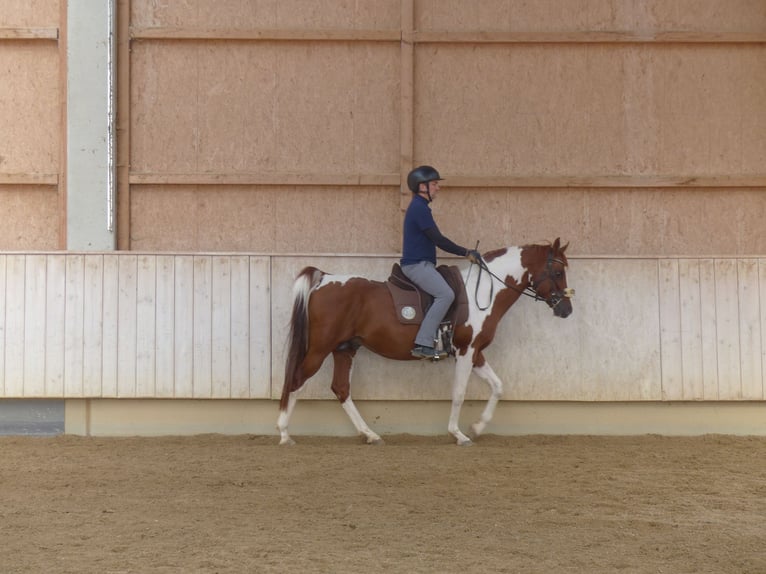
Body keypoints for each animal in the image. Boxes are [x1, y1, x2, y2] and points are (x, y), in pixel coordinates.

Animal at [277, 238, 573, 446]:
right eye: (559, 273)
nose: (566, 310)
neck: (482, 294)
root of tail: (325, 279)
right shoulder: (466, 352)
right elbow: (459, 393)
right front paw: (458, 434)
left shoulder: (475, 353)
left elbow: (498, 387)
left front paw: (477, 427)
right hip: (320, 349)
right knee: (297, 380)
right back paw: (284, 433)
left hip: (345, 349)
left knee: (341, 389)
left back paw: (370, 434)